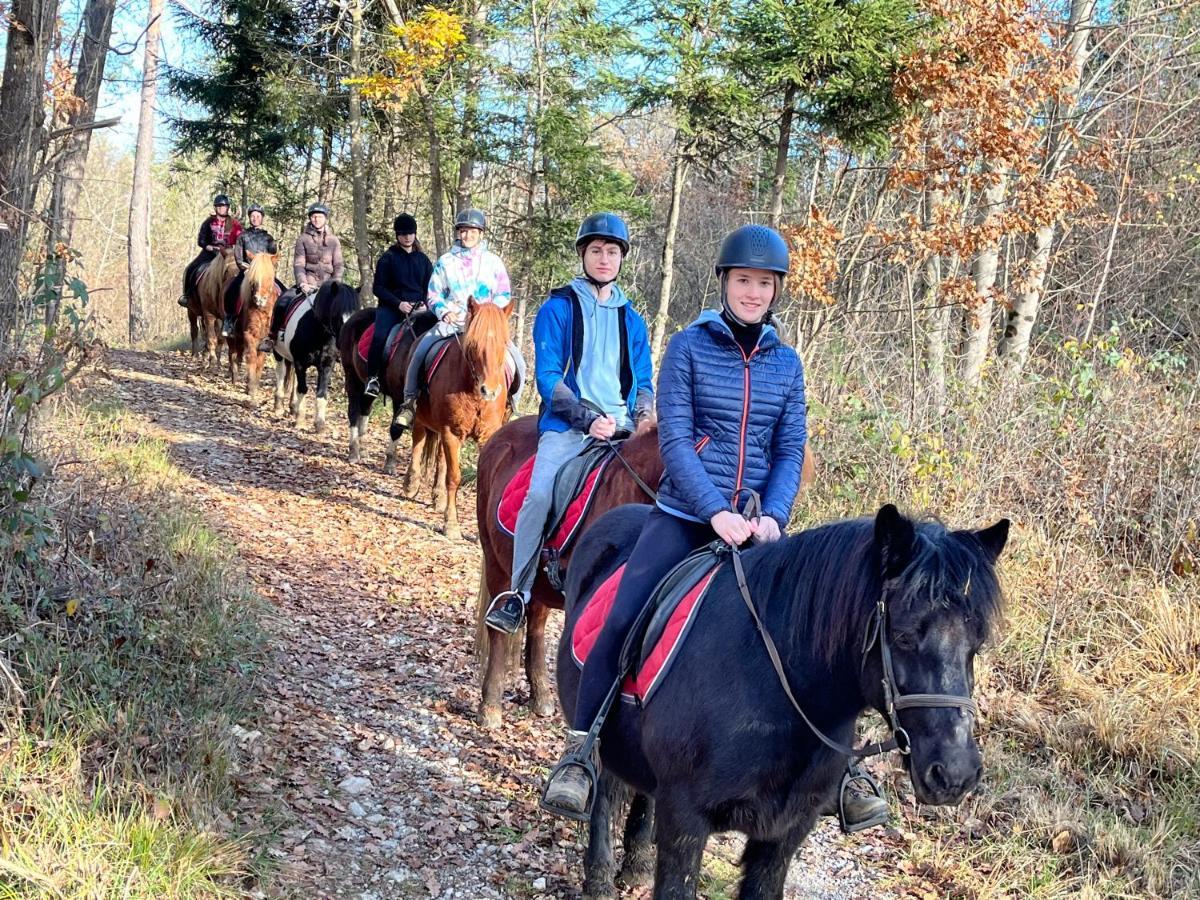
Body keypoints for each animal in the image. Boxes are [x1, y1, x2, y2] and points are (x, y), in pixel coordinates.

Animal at [225, 250, 280, 398]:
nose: (259, 299)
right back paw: (234, 377)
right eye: (254, 279)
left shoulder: (265, 339)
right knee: (233, 354)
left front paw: (254, 384)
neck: (262, 309)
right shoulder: (250, 334)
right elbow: (252, 357)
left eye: (270, 277)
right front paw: (250, 386)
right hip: (232, 336)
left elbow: (260, 361)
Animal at [273, 283, 357, 434]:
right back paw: (279, 406)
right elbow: (302, 389)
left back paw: (293, 406)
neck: (318, 333)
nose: (346, 342)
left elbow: (321, 393)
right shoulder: (300, 363)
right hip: (278, 353)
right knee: (280, 374)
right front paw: (300, 422)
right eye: (337, 315)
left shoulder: (326, 366)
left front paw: (319, 424)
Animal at [400, 303, 513, 542]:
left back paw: (438, 497)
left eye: (504, 343)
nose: (490, 391)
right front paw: (451, 525)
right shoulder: (451, 432)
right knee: (418, 442)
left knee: (441, 460)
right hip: (423, 418)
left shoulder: (484, 436)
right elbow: (453, 477)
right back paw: (411, 484)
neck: (473, 391)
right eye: (474, 344)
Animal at [468, 422, 816, 734]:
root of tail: (500, 436)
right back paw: (491, 705)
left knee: (537, 625)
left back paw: (541, 695)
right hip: (498, 563)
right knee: (499, 631)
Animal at [556, 504, 1008, 900]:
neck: (771, 687)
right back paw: (598, 876)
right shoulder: (685, 820)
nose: (955, 774)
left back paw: (635, 864)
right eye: (904, 636)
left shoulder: (785, 832)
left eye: (977, 643)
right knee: (602, 789)